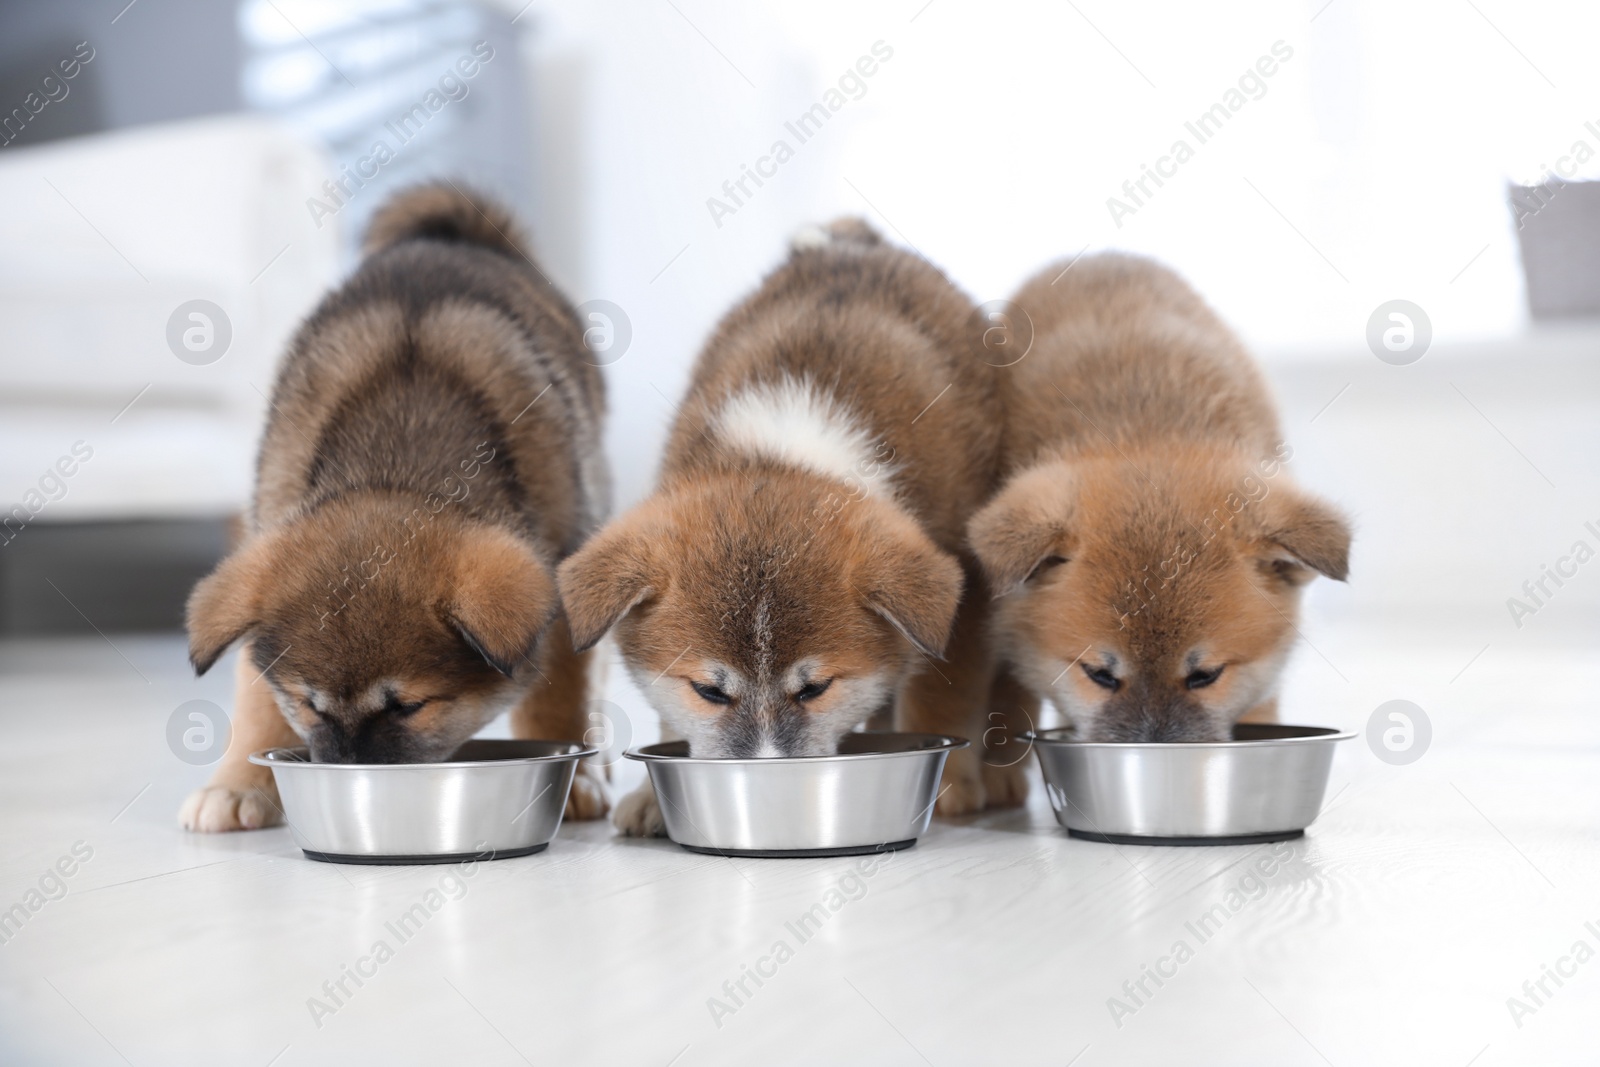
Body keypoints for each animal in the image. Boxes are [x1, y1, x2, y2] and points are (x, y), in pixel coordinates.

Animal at [178, 183, 608, 831]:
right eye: (310, 705)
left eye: (408, 706)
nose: (350, 782)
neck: (398, 462)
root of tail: (445, 237)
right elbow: (256, 701)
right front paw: (238, 783)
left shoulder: (562, 584)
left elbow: (558, 699)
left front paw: (577, 774)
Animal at [553, 219, 998, 831]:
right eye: (709, 691)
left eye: (813, 689)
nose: (765, 777)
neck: (784, 450)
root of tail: (855, 244)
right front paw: (653, 799)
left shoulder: (964, 595)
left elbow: (942, 694)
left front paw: (950, 784)